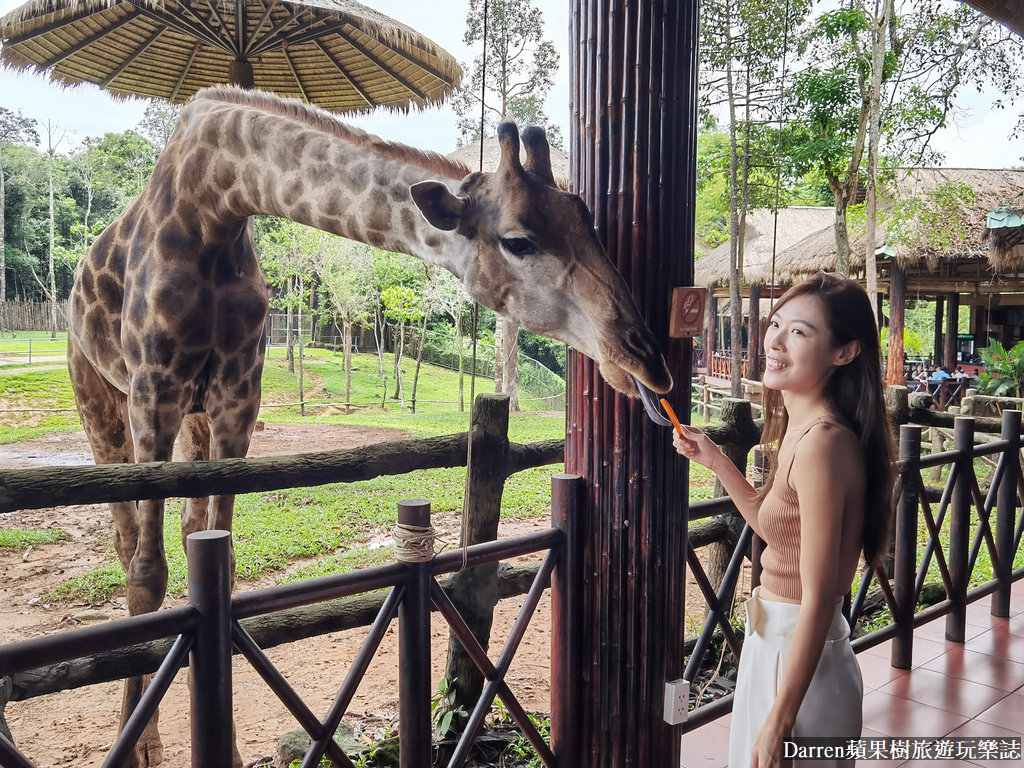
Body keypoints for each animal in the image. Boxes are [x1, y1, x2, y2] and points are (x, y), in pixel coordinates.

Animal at [66, 83, 671, 768]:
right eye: (518, 240)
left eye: (588, 221)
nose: (645, 360)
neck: (215, 199)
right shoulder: (153, 393)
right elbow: (147, 574)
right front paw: (138, 748)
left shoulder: (236, 403)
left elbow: (221, 561)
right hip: (101, 400)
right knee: (126, 547)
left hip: (194, 420)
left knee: (189, 528)